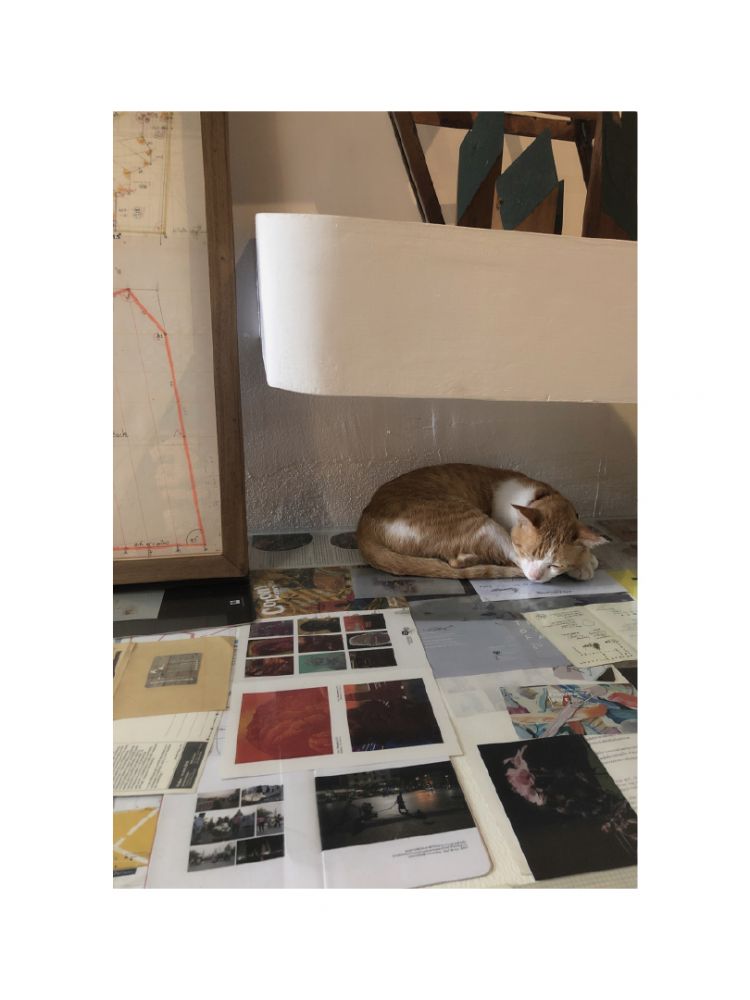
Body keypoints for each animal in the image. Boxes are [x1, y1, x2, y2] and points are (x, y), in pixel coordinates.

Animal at [356, 464, 608, 581]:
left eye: (554, 564)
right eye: (528, 552)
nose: (536, 578)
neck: (539, 495)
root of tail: (366, 519)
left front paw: (586, 557)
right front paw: (584, 563)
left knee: (454, 560)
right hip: (482, 524)